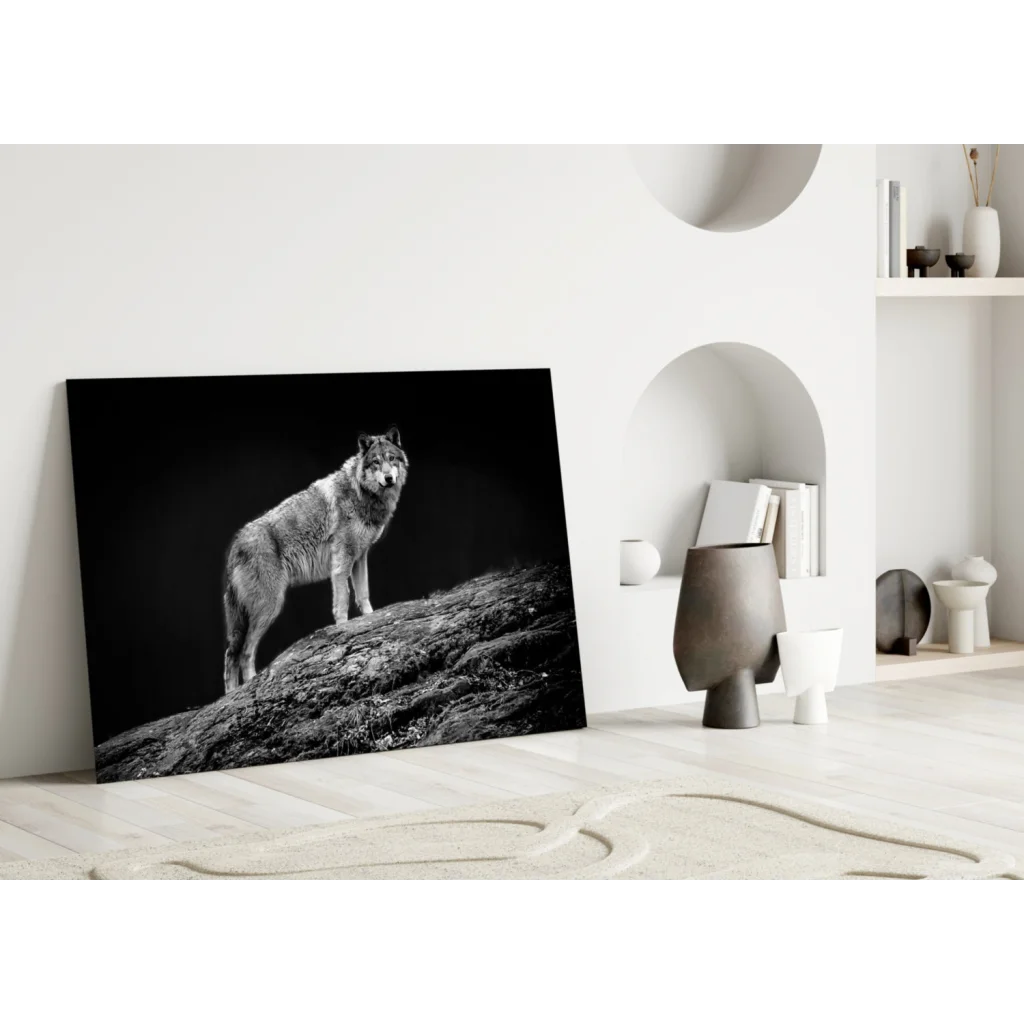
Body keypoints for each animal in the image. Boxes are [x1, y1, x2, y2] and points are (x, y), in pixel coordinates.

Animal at [222, 426, 408, 693]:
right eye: (375, 462)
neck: (361, 492)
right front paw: (343, 629)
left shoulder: (360, 557)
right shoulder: (342, 562)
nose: (389, 478)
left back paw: (231, 695)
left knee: (231, 655)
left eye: (391, 459)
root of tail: (235, 545)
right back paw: (245, 689)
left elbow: (363, 596)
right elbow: (342, 603)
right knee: (243, 653)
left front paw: (370, 619)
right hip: (269, 607)